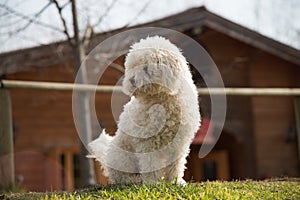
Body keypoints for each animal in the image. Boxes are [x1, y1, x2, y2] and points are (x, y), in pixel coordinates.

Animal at [89, 36, 202, 184]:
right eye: (132, 67)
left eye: (146, 68)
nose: (131, 80)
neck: (162, 100)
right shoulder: (147, 142)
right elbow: (150, 165)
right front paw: (153, 184)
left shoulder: (180, 141)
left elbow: (176, 165)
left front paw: (175, 182)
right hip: (123, 157)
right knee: (121, 176)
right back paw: (134, 180)